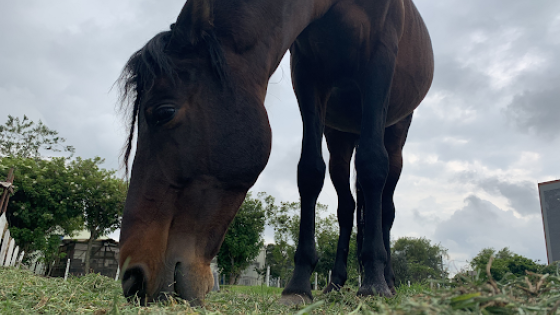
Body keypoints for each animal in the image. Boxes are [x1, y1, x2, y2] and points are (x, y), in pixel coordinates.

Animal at [117, 0, 434, 308]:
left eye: (164, 112)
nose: (133, 278)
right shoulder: (307, 74)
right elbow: (309, 172)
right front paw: (299, 285)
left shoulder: (378, 62)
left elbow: (372, 166)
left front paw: (374, 283)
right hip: (340, 138)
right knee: (348, 208)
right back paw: (335, 284)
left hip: (394, 132)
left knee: (385, 204)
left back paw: (386, 279)